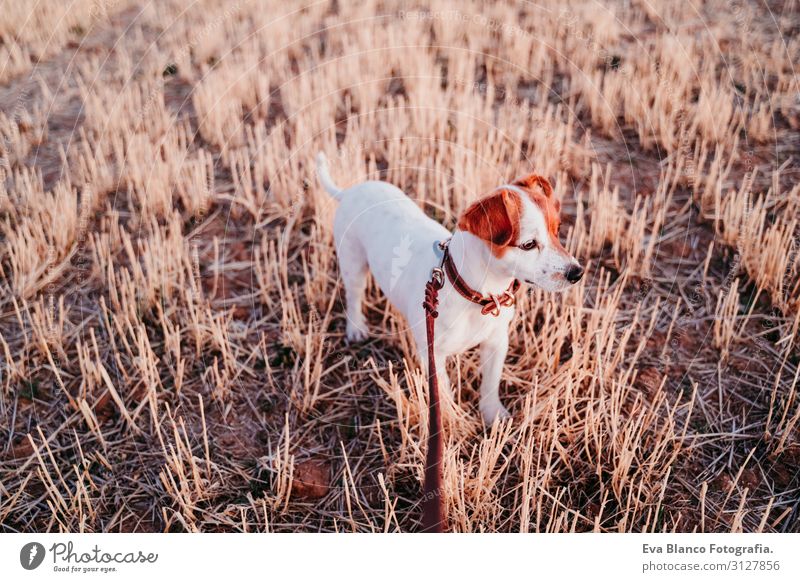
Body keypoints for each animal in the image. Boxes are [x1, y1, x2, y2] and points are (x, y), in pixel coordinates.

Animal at [316, 153, 584, 422]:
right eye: (528, 244)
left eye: (557, 230)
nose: (577, 273)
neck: (474, 294)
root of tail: (349, 192)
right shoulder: (433, 356)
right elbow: (443, 392)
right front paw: (451, 420)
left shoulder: (496, 342)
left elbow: (490, 384)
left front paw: (493, 415)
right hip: (353, 264)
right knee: (353, 296)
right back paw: (356, 328)